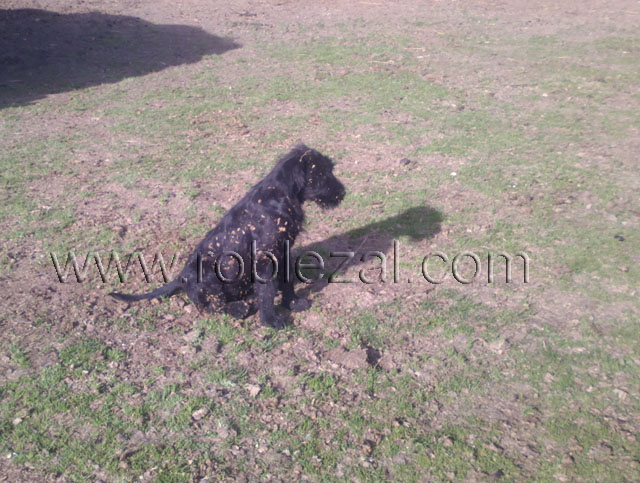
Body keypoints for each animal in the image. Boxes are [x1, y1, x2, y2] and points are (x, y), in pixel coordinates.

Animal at [110, 144, 346, 329]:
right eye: (322, 174)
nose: (343, 193)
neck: (280, 196)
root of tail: (181, 278)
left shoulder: (284, 250)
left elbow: (286, 281)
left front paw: (293, 303)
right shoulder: (265, 258)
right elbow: (267, 291)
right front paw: (270, 320)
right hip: (210, 276)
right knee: (212, 304)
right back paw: (240, 307)